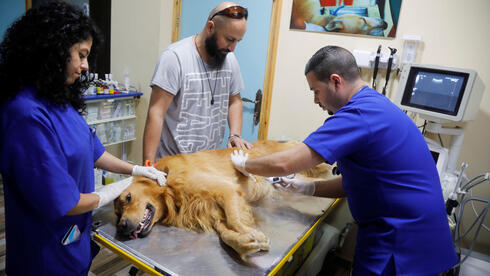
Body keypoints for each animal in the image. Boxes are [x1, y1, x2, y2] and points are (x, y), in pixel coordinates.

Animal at [113, 140, 332, 258]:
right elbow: (226, 233)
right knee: (314, 183)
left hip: (292, 157)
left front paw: (255, 235)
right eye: (117, 213)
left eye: (128, 198)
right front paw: (245, 242)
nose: (121, 227)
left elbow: (235, 220)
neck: (171, 189)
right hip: (294, 179)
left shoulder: (227, 190)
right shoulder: (214, 212)